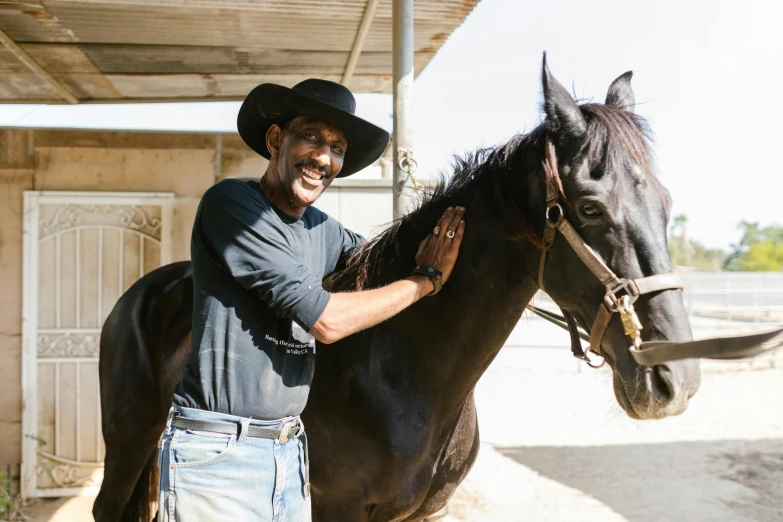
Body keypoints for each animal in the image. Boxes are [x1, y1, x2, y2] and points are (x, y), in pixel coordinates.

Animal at [93, 58, 704, 520]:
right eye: (590, 208)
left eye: (667, 203)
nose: (675, 380)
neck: (404, 375)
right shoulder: (338, 511)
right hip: (127, 445)